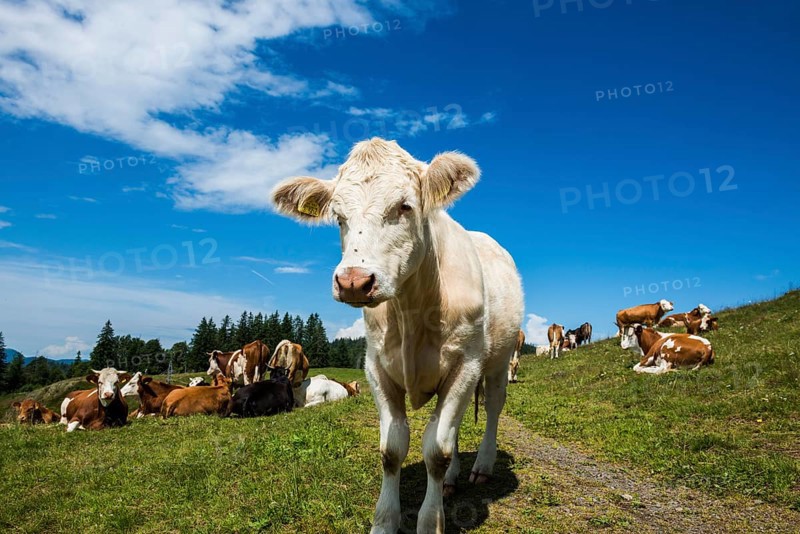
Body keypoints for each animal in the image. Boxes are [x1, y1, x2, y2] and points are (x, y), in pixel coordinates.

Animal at [272, 137, 524, 533]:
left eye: (404, 206)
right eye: (338, 217)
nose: (354, 281)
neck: (411, 313)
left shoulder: (465, 366)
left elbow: (436, 451)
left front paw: (430, 521)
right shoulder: (377, 368)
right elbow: (393, 450)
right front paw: (385, 521)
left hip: (498, 359)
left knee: (494, 406)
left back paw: (482, 465)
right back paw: (451, 480)